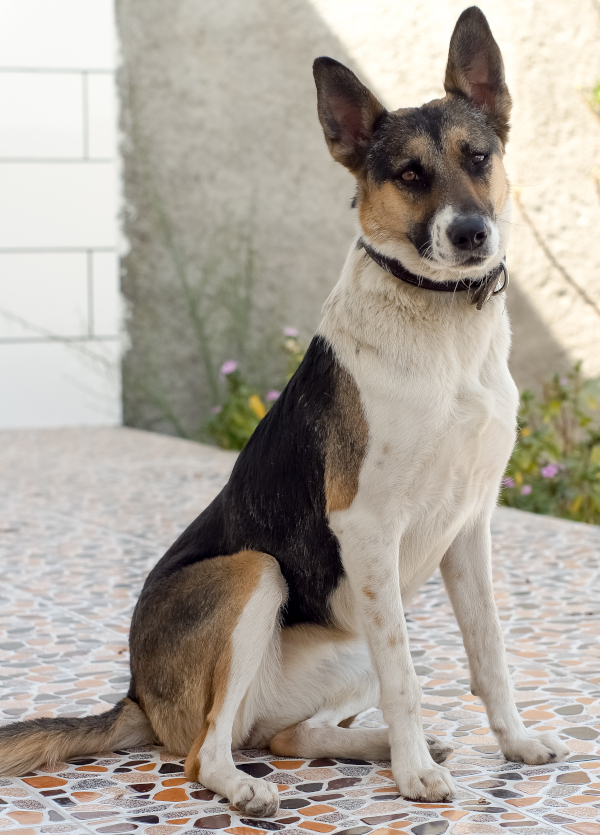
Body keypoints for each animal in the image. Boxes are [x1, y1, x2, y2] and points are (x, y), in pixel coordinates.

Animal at [0, 4, 568, 816]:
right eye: (409, 174)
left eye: (480, 156)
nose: (471, 234)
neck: (441, 327)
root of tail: (138, 695)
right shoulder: (367, 528)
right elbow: (406, 678)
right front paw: (415, 775)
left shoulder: (470, 528)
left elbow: (489, 652)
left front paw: (513, 743)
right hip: (256, 574)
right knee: (205, 752)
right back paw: (254, 785)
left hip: (348, 639)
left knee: (283, 735)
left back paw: (368, 746)